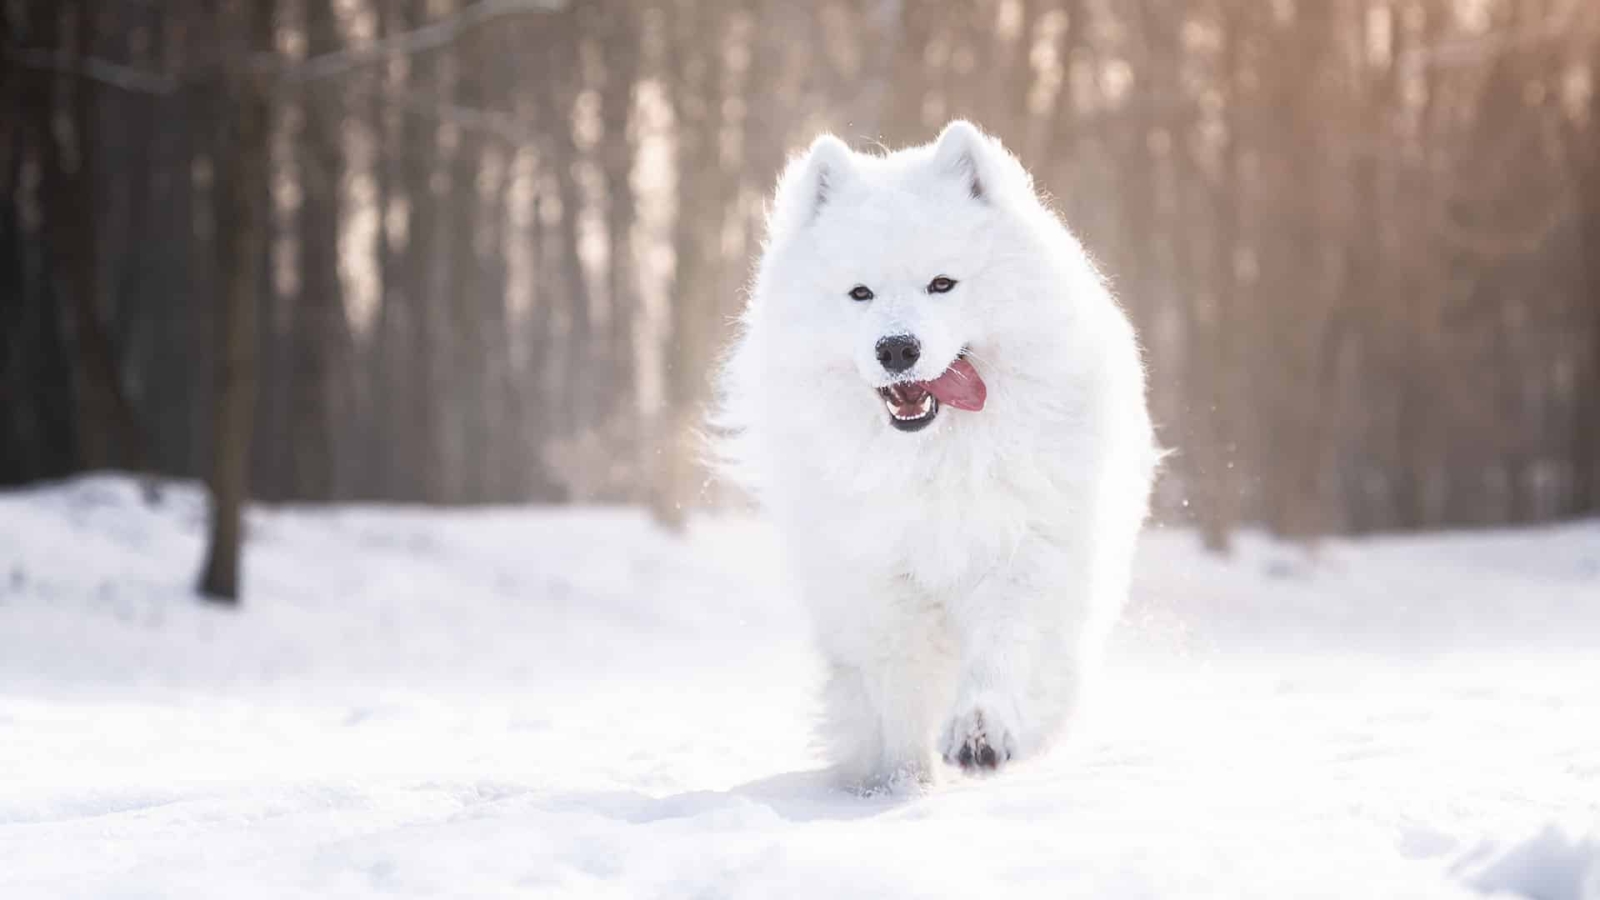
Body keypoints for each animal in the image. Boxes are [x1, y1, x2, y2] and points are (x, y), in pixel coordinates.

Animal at [720, 122, 1158, 787]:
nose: (897, 348)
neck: (936, 459)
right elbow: (900, 692)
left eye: (942, 284)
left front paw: (981, 734)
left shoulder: (1023, 557)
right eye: (860, 293)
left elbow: (1002, 653)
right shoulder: (883, 584)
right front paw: (906, 785)